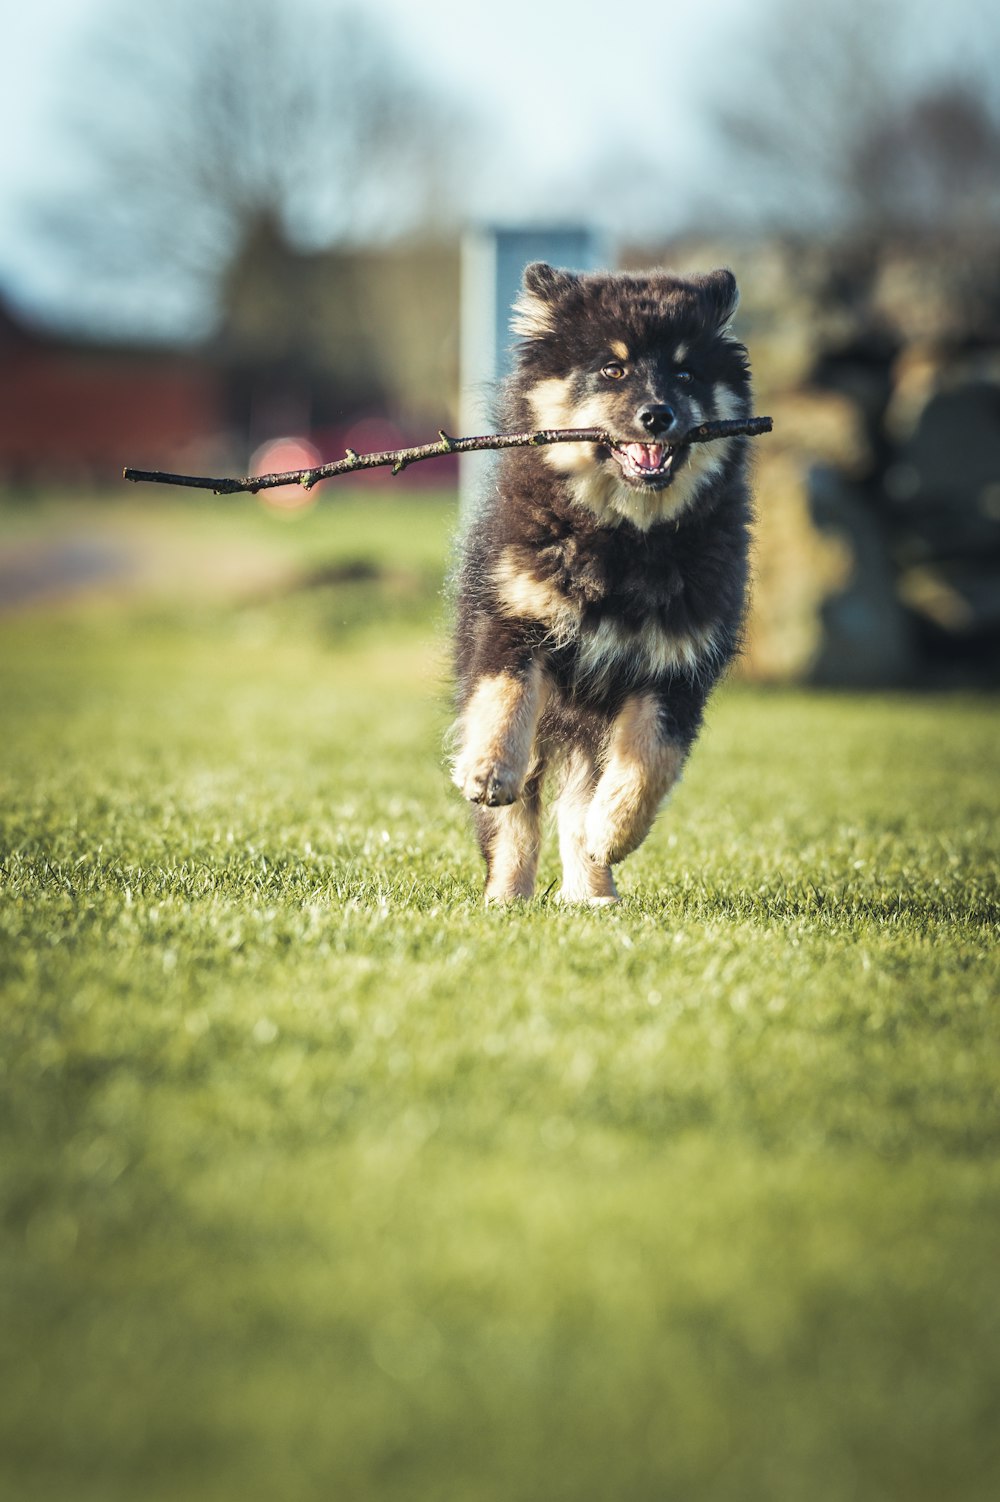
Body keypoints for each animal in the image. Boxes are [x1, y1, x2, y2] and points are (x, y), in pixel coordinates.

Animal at [450, 261, 747, 901]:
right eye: (613, 369)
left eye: (685, 371)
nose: (657, 414)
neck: (625, 538)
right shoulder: (514, 619)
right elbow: (504, 697)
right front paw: (488, 769)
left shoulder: (677, 667)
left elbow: (650, 760)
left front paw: (612, 831)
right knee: (515, 822)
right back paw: (505, 897)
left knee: (575, 805)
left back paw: (594, 893)